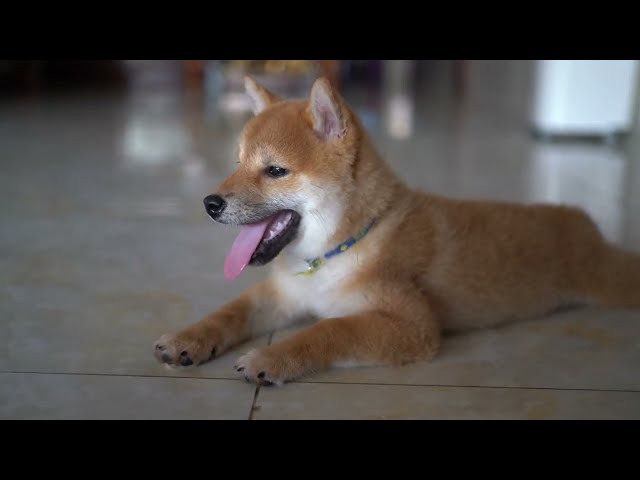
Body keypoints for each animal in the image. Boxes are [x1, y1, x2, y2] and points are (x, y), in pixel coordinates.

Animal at [152, 78, 636, 386]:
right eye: (237, 163)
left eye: (275, 171)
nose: (210, 204)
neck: (336, 251)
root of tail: (584, 222)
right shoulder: (282, 295)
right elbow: (230, 312)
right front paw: (189, 338)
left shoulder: (412, 325)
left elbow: (329, 330)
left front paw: (272, 356)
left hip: (611, 282)